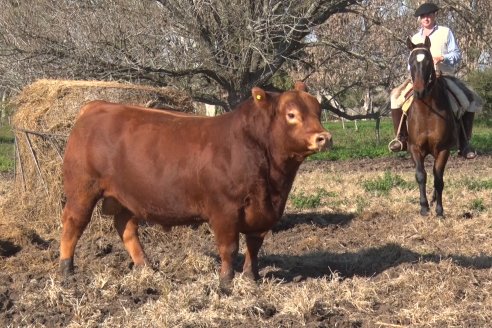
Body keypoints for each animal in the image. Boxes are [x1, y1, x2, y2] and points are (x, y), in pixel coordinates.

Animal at [404, 36, 458, 217]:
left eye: (428, 61)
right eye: (411, 62)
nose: (419, 91)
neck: (427, 112)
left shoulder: (442, 149)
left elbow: (438, 179)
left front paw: (439, 210)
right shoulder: (414, 148)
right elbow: (421, 176)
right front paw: (423, 207)